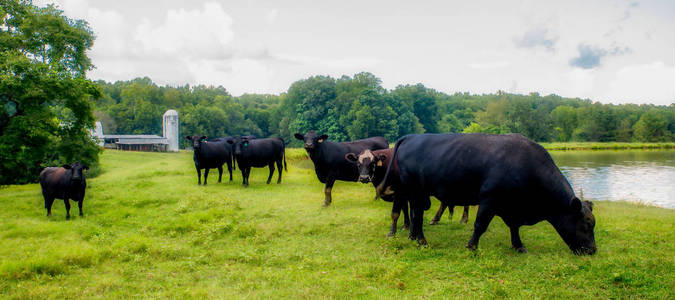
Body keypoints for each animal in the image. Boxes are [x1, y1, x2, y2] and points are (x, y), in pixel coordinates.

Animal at [378, 134, 600, 255]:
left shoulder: (511, 206)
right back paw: (421, 240)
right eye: (586, 224)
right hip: (415, 190)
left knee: (416, 214)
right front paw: (472, 246)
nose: (592, 250)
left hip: (417, 193)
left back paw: (415, 238)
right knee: (417, 214)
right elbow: (480, 225)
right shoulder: (489, 200)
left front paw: (519, 246)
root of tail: (412, 137)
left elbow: (514, 227)